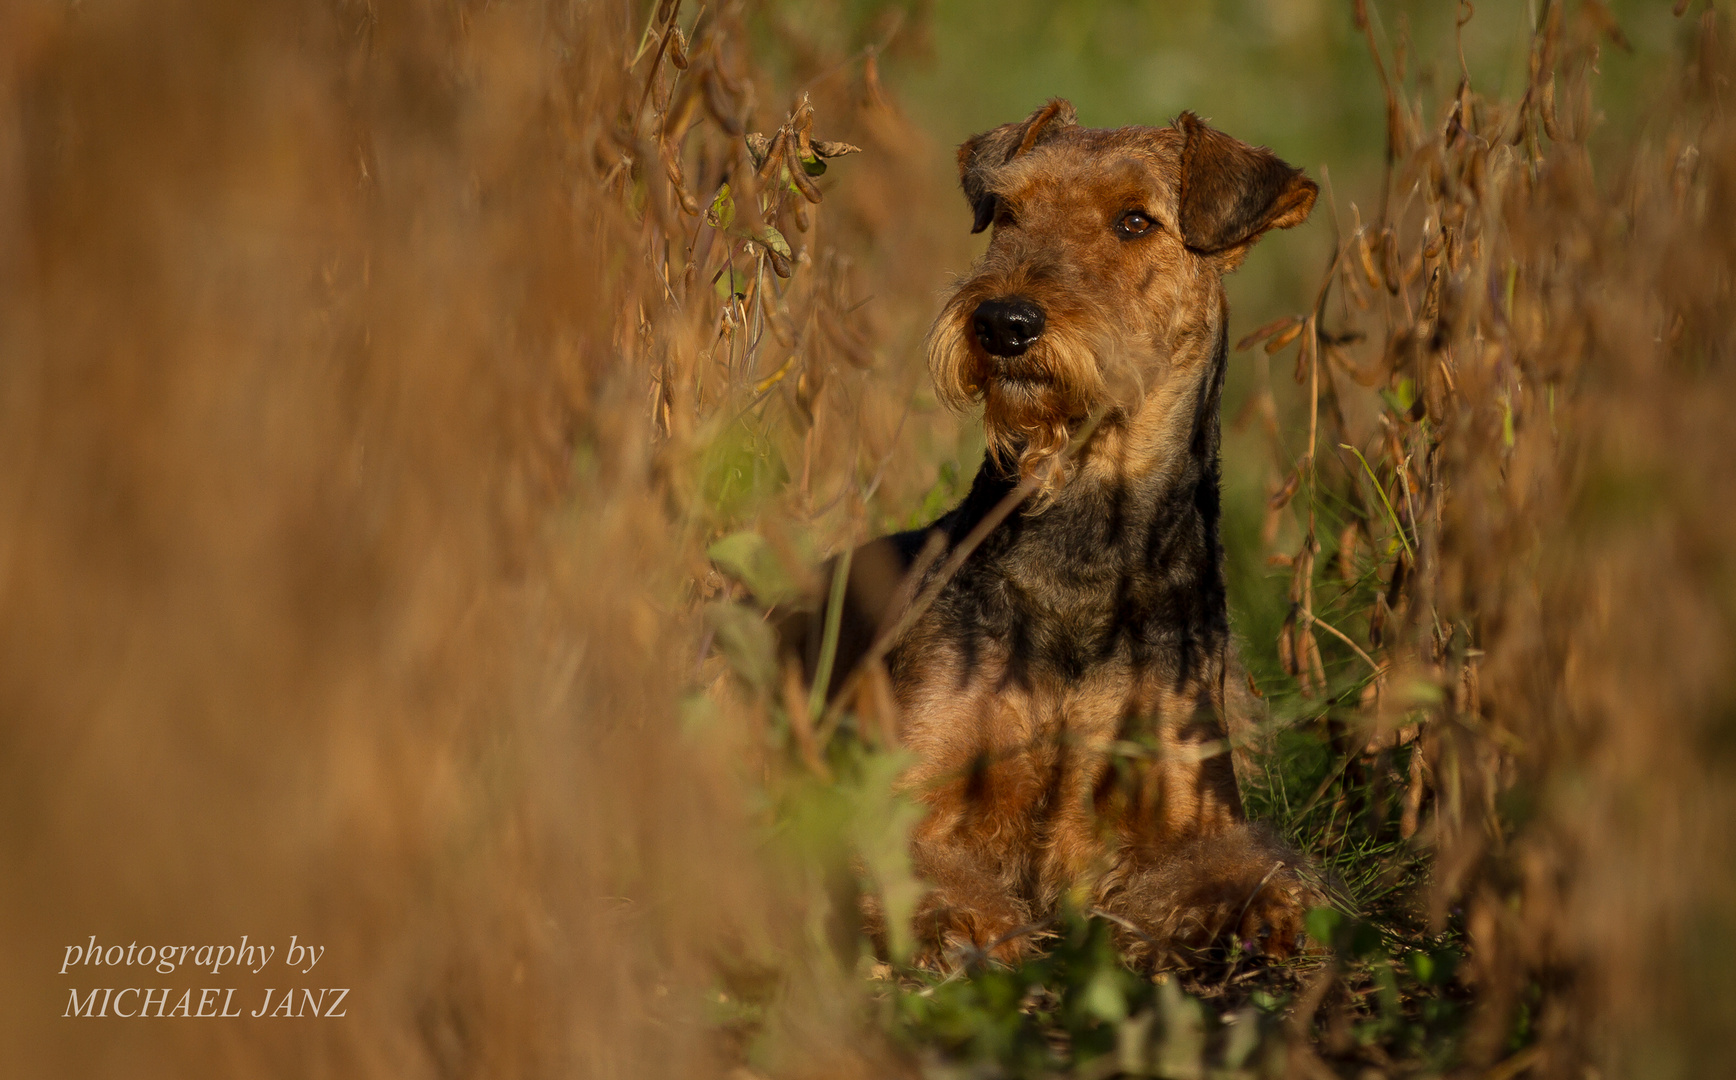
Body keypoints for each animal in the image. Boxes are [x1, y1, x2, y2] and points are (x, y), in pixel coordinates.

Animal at [781, 97, 1319, 972]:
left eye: (1135, 221)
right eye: (1007, 211)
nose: (1002, 322)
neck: (1084, 542)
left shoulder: (1192, 805)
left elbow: (1244, 873)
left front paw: (1255, 916)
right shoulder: (905, 791)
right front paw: (962, 922)